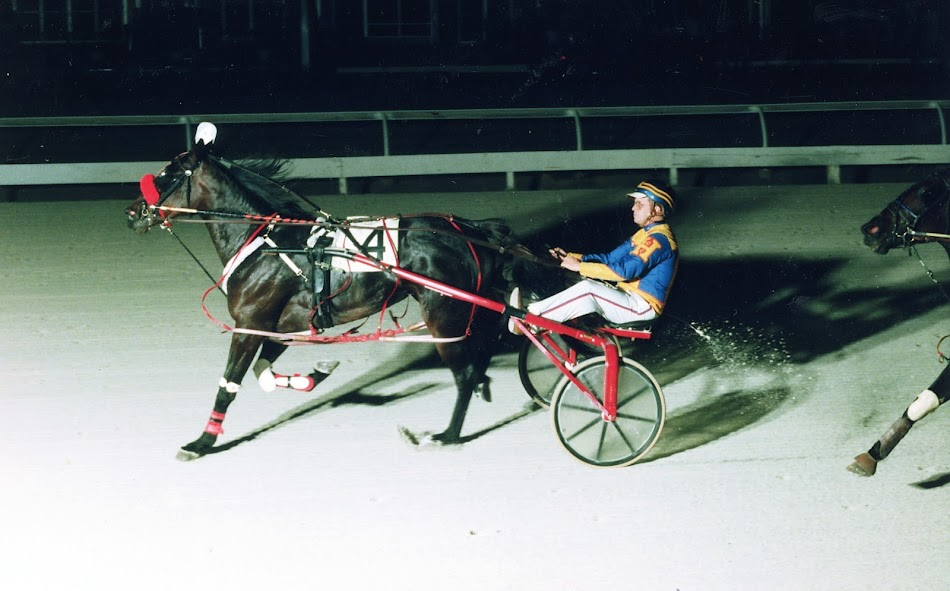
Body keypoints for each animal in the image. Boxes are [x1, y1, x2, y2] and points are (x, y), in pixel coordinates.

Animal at [125, 122, 528, 460]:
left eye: (166, 175)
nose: (132, 213)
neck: (263, 243)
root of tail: (471, 229)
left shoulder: (249, 324)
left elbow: (229, 384)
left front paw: (201, 443)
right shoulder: (283, 326)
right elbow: (265, 375)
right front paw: (317, 373)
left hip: (443, 316)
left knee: (465, 373)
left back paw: (446, 435)